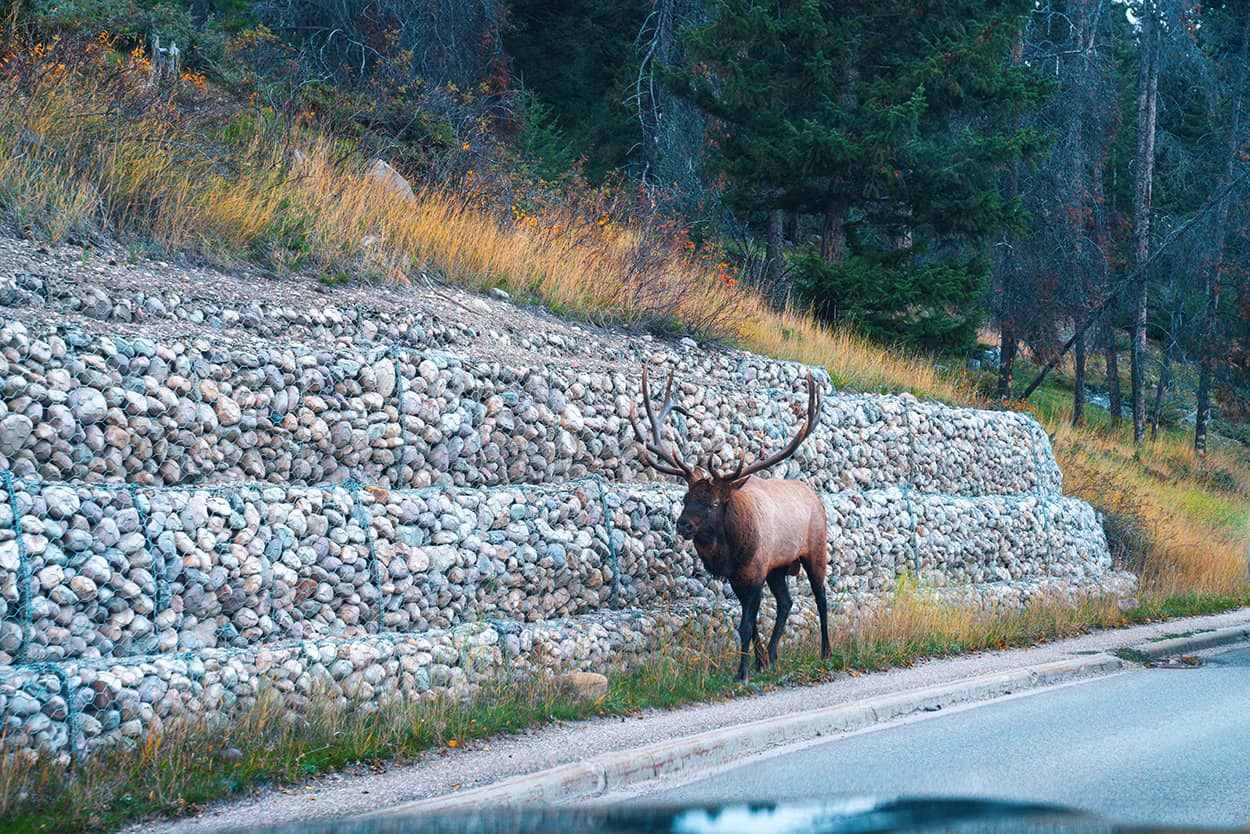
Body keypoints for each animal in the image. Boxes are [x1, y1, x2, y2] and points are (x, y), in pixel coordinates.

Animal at [625, 367, 830, 680]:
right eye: (685, 498)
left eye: (712, 503)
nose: (683, 526)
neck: (730, 553)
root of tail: (816, 497)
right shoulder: (740, 576)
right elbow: (752, 624)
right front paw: (759, 662)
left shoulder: (755, 572)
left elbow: (746, 625)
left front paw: (742, 673)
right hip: (778, 567)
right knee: (786, 603)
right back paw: (773, 656)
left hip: (815, 549)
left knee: (821, 598)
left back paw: (825, 652)